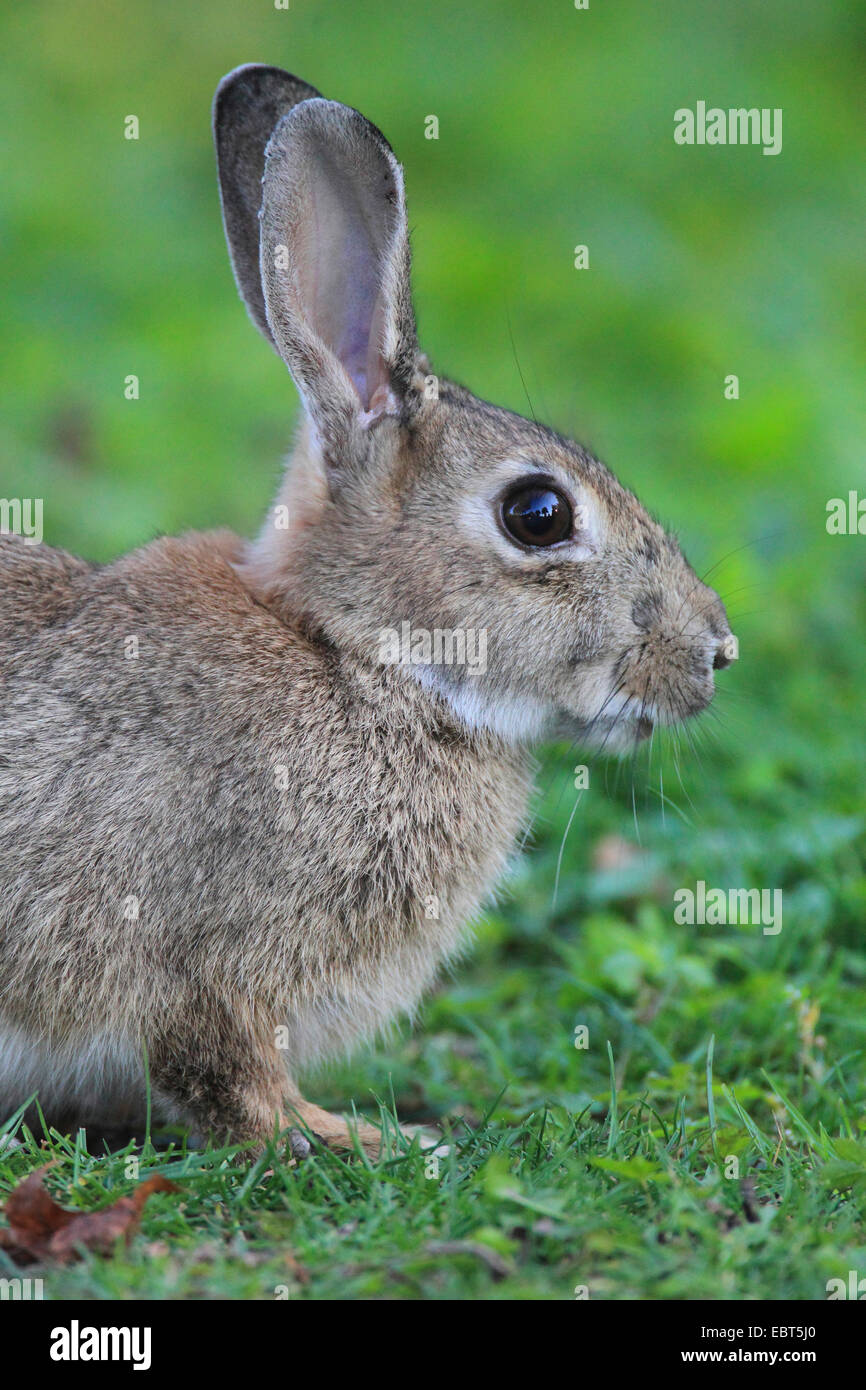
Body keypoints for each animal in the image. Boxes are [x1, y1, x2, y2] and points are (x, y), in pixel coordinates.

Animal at [0, 65, 739, 1156]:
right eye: (538, 513)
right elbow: (231, 1080)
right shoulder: (212, 964)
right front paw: (372, 1139)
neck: (358, 659)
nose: (716, 649)